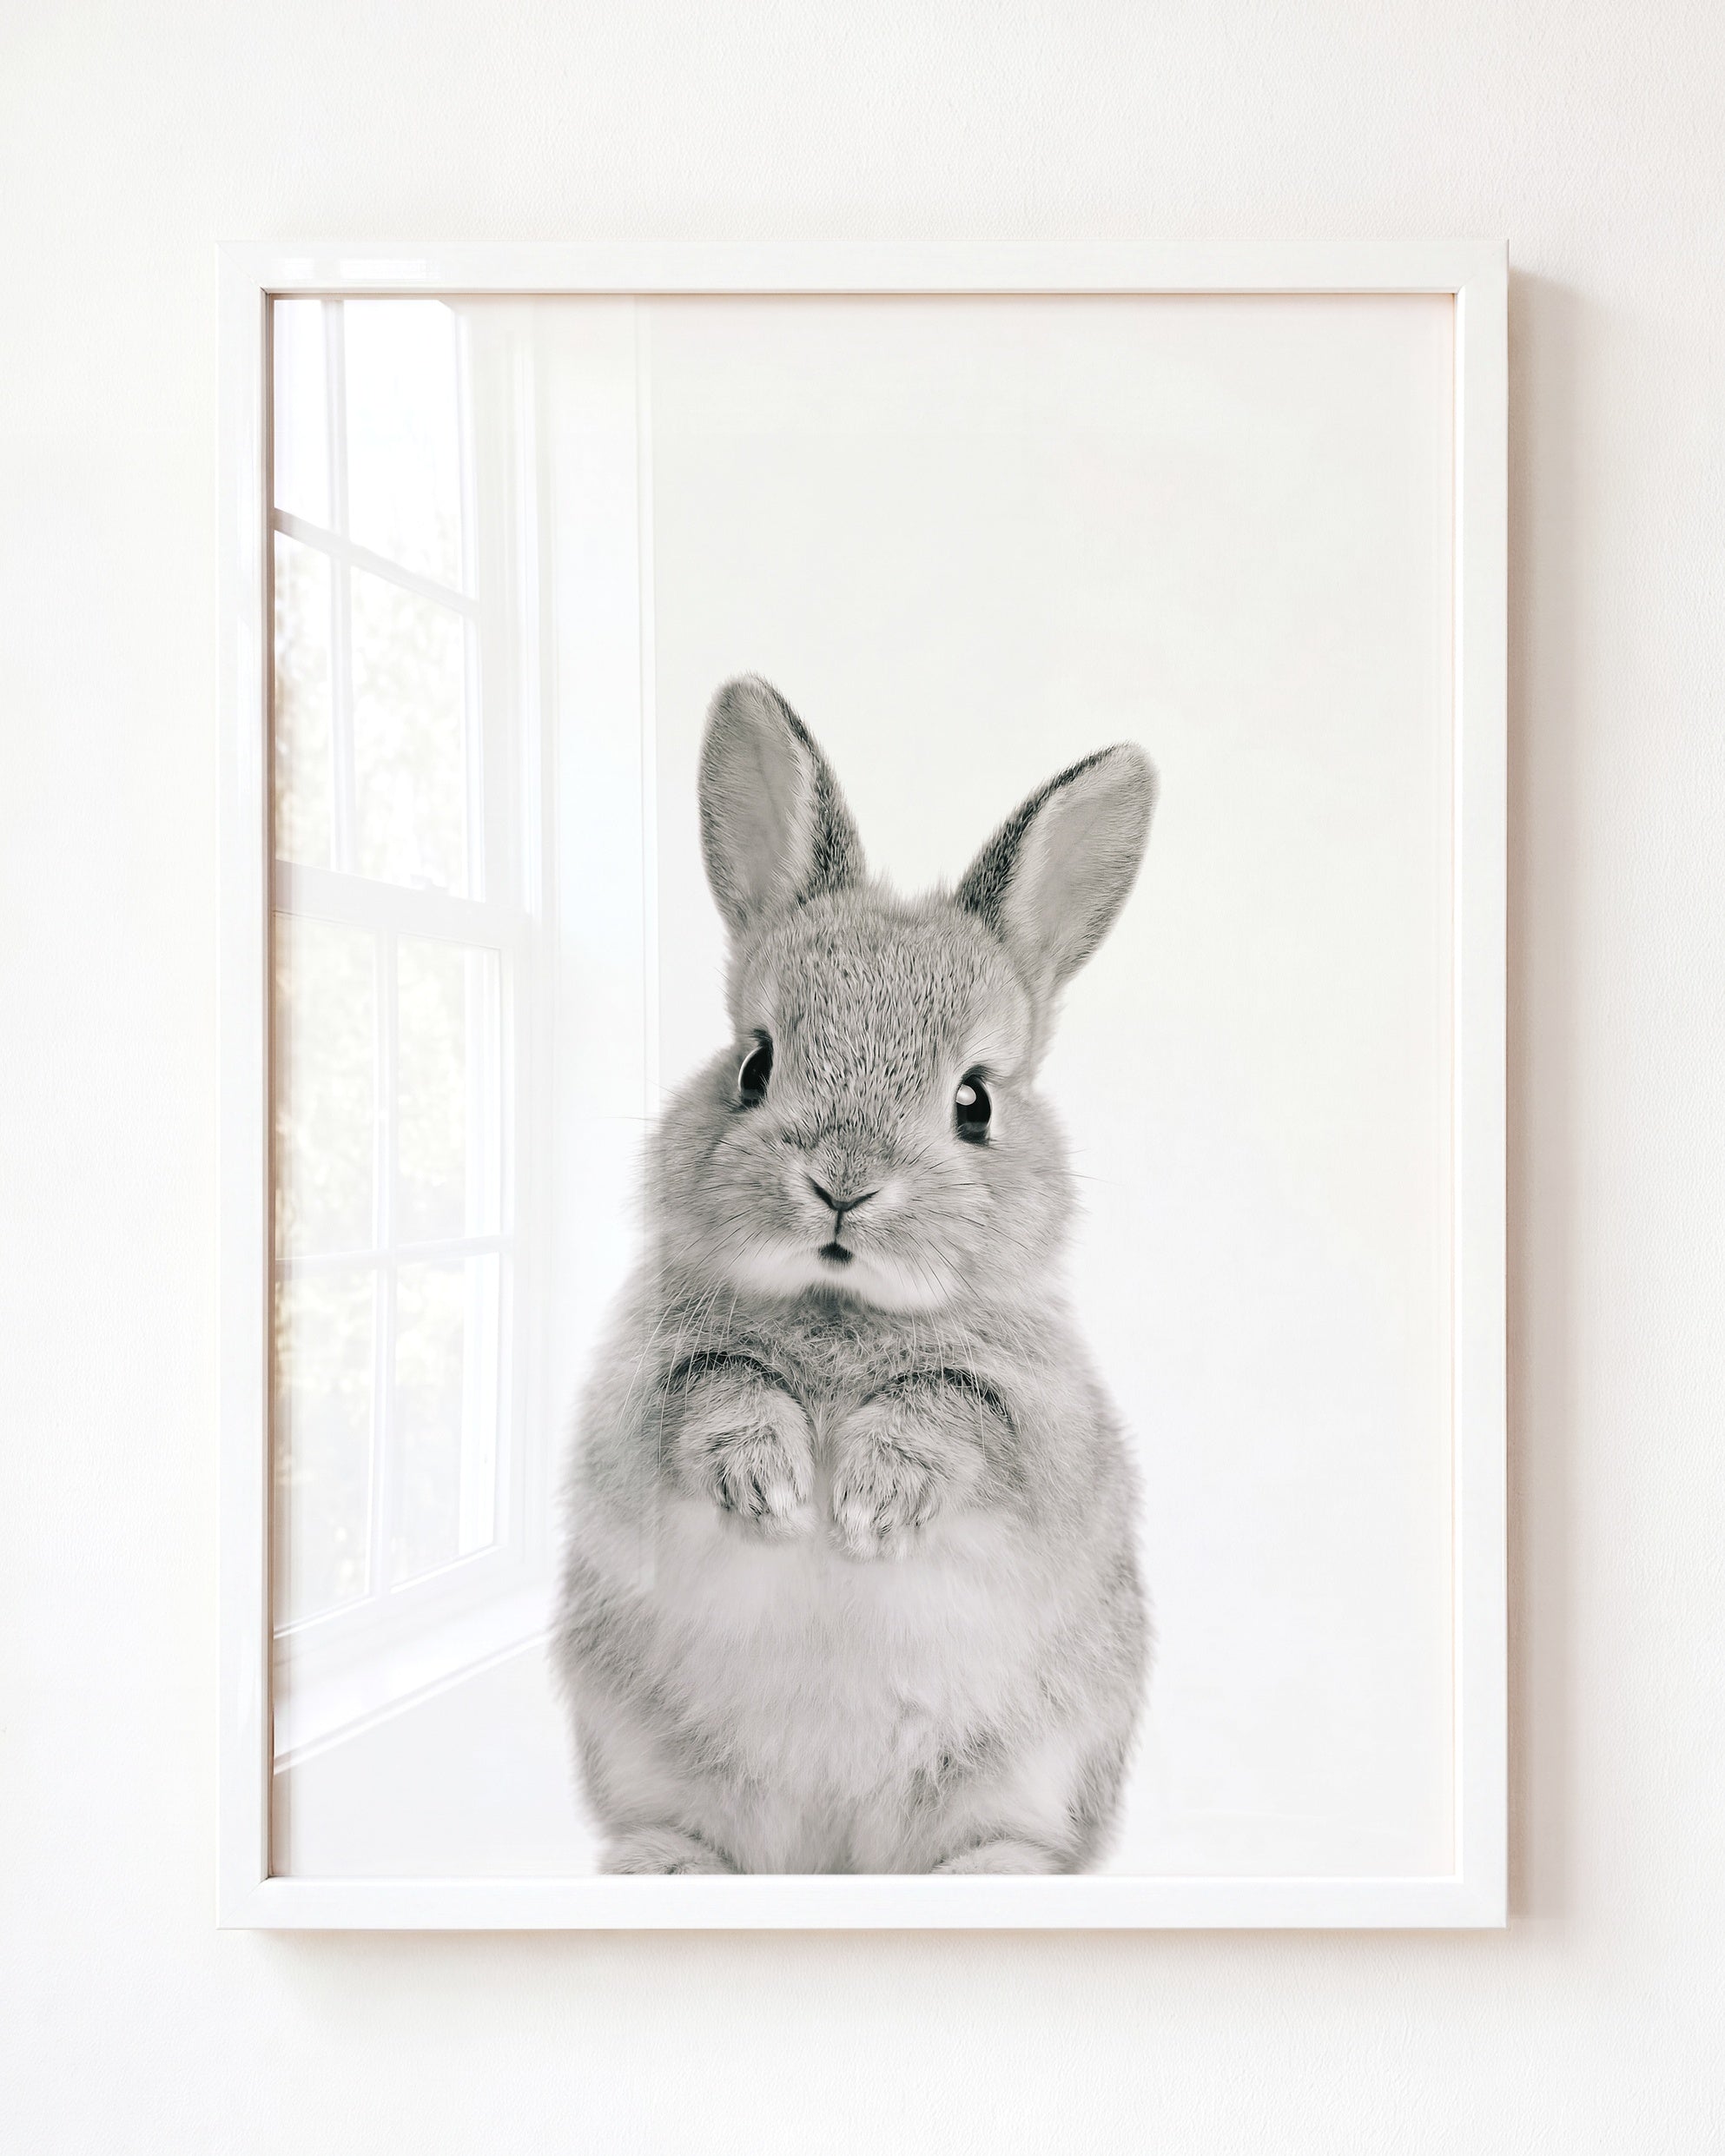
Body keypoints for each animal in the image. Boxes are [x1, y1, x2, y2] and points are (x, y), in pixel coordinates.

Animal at [553, 675, 1155, 1875]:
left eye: (975, 1100)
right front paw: (775, 1486)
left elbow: (951, 1410)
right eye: (754, 1063)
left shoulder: (1040, 1427)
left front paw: (870, 1500)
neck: (842, 1307)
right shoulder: (645, 1391)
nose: (843, 1185)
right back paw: (667, 1867)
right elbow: (719, 1388)